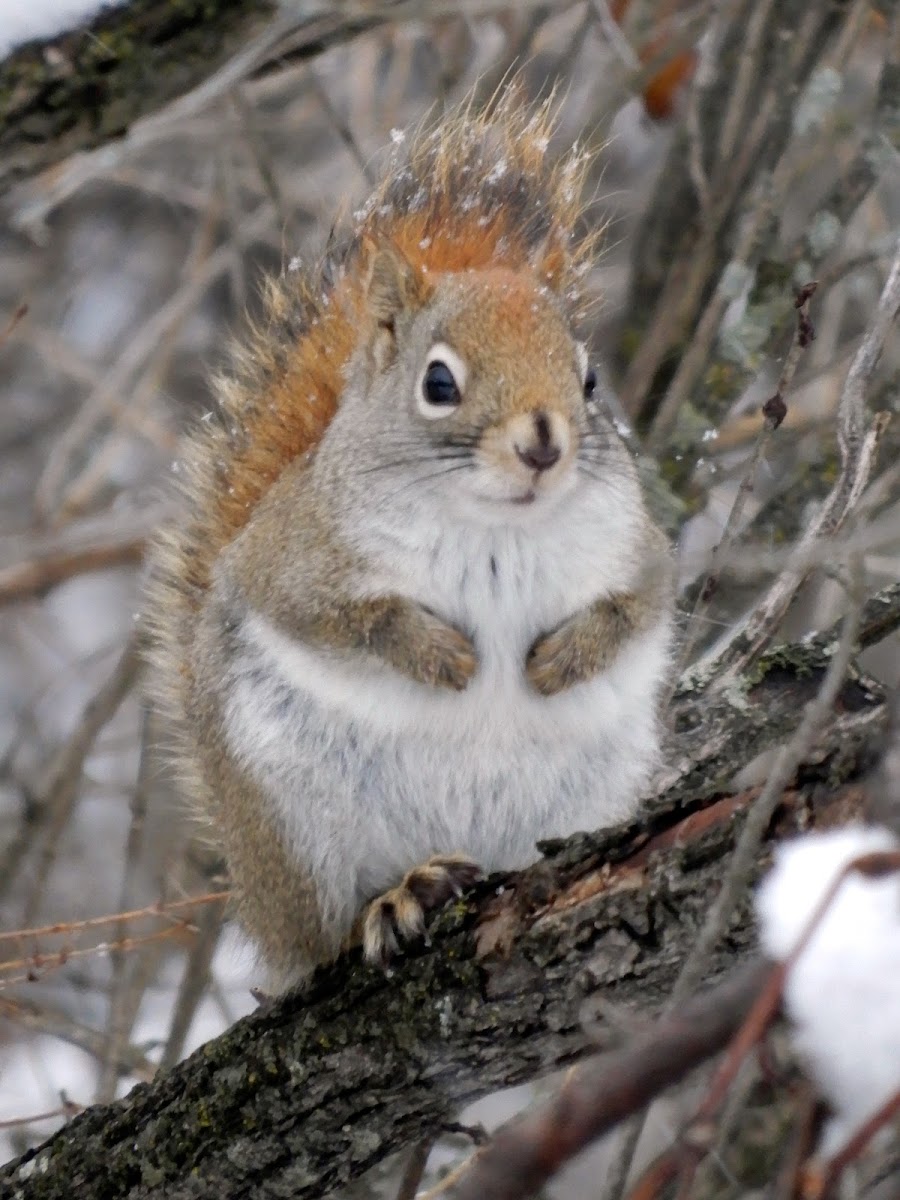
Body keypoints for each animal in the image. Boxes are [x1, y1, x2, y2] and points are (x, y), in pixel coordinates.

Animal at [142, 96, 676, 993]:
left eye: (590, 379)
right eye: (439, 382)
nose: (544, 443)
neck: (495, 527)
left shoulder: (639, 550)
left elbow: (637, 610)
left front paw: (561, 660)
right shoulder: (291, 559)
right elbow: (338, 617)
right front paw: (440, 655)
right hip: (296, 823)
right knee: (326, 934)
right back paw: (394, 900)